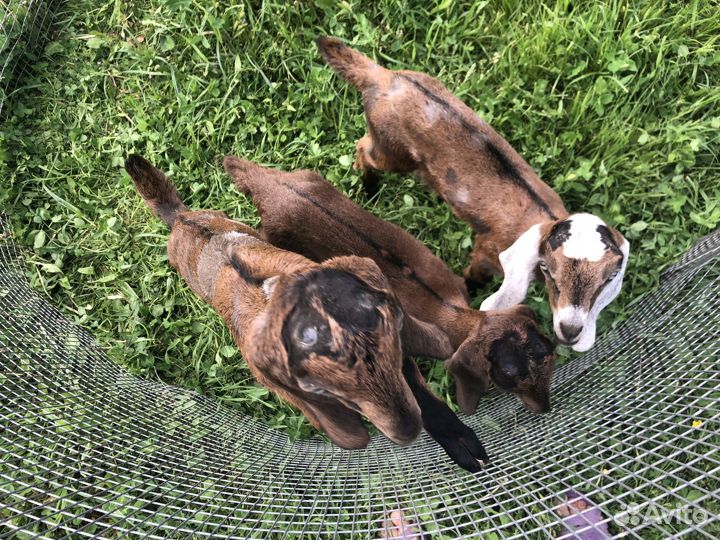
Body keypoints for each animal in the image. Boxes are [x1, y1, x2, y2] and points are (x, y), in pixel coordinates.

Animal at [224, 157, 556, 417]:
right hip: (271, 234)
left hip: (312, 179)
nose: (544, 408)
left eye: (548, 350)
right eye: (508, 372)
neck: (453, 312)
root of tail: (268, 183)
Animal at [316, 36, 630, 352]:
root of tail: (384, 77)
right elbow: (474, 276)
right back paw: (369, 187)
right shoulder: (487, 251)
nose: (570, 331)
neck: (541, 217)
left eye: (608, 279)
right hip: (390, 149)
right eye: (547, 269)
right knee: (363, 147)